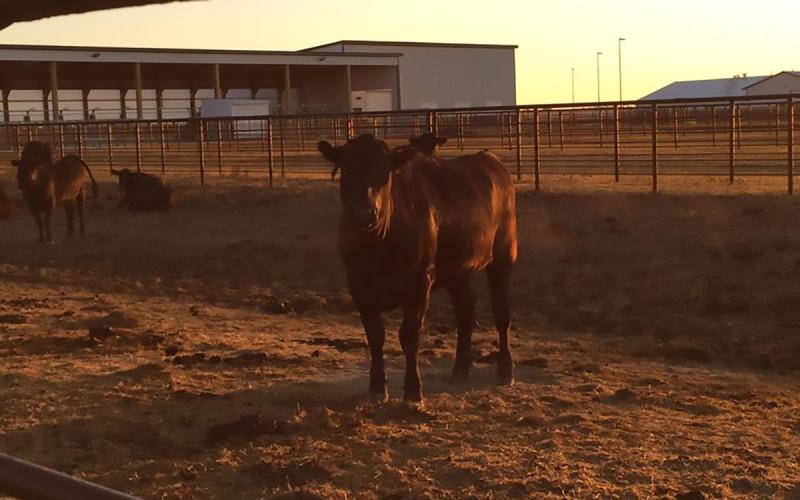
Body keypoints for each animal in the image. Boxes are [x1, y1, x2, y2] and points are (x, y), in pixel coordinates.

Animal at [318, 134, 517, 404]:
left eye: (385, 173)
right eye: (347, 170)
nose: (364, 213)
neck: (377, 247)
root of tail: (490, 160)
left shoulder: (419, 282)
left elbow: (409, 336)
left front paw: (413, 390)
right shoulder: (359, 284)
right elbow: (375, 336)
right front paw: (377, 387)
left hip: (503, 256)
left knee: (501, 313)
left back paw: (505, 369)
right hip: (458, 271)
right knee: (465, 312)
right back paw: (460, 369)